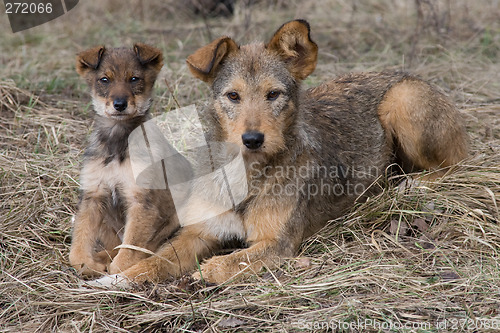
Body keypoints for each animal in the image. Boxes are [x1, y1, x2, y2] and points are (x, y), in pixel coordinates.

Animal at [68, 44, 189, 278]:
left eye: (134, 79)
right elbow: (79, 242)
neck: (118, 139)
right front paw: (87, 264)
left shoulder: (141, 201)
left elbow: (130, 247)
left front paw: (118, 270)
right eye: (104, 80)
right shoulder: (93, 196)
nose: (119, 104)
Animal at [98, 20, 468, 286]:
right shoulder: (200, 230)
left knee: (454, 166)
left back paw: (406, 186)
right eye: (233, 96)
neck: (248, 174)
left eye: (273, 94)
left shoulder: (277, 243)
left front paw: (200, 275)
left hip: (402, 101)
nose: (252, 139)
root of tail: (407, 73)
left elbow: (223, 264)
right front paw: (116, 279)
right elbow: (157, 260)